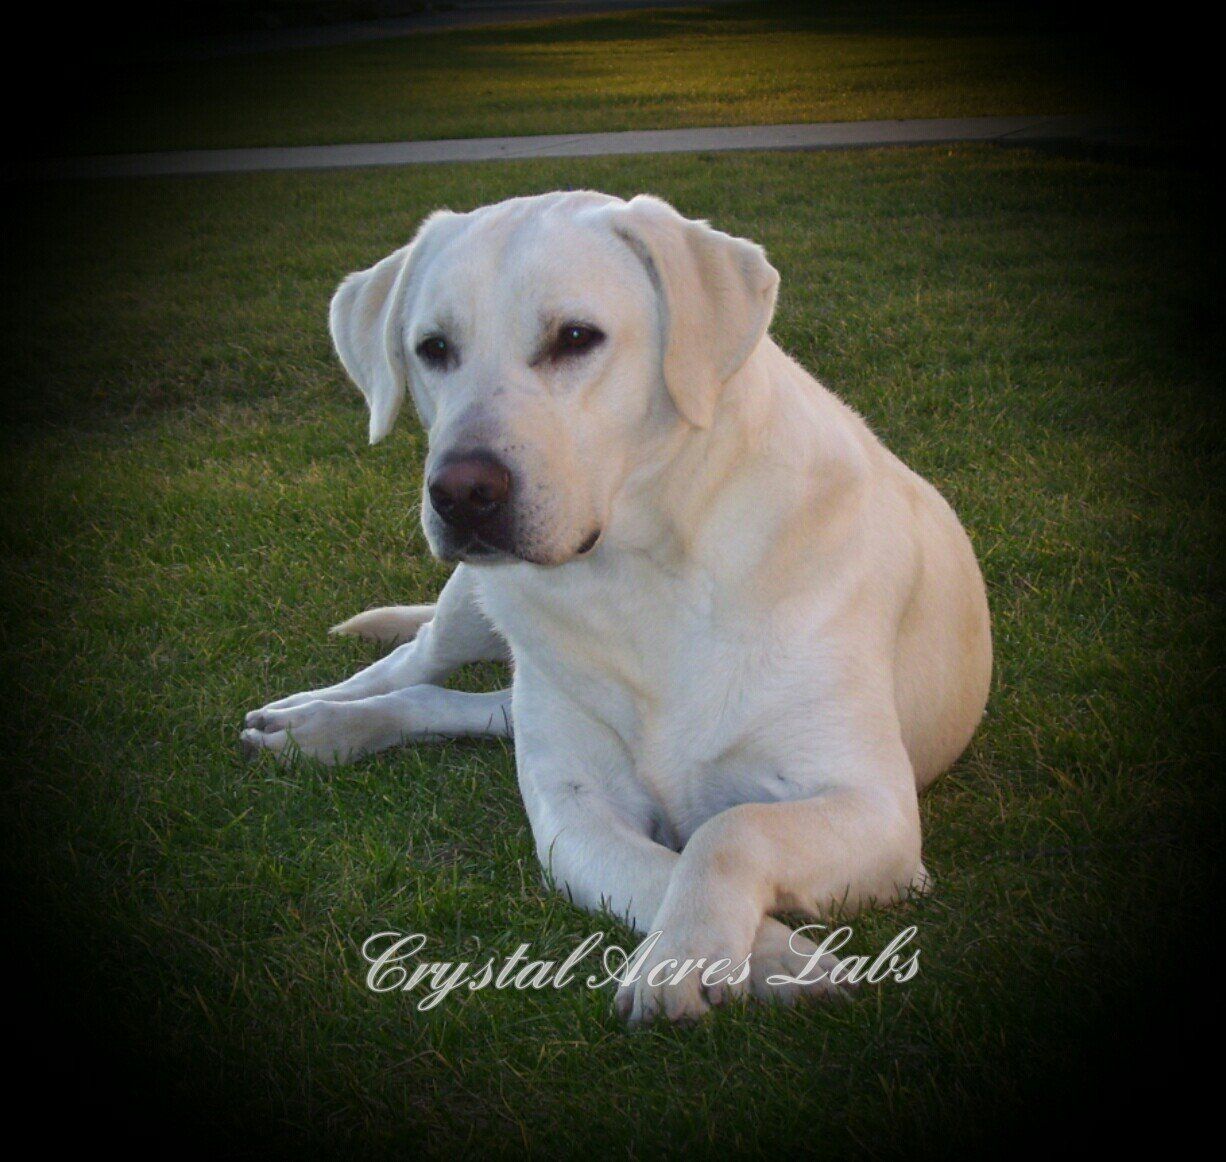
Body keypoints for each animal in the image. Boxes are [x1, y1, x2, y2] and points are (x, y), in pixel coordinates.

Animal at [241, 192, 995, 1024]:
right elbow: (662, 870)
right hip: (471, 601)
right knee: (416, 662)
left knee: (459, 702)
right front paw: (752, 957)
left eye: (576, 338)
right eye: (432, 348)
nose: (461, 493)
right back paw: (313, 718)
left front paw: (703, 953)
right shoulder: (574, 815)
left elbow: (729, 831)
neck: (636, 574)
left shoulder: (876, 807)